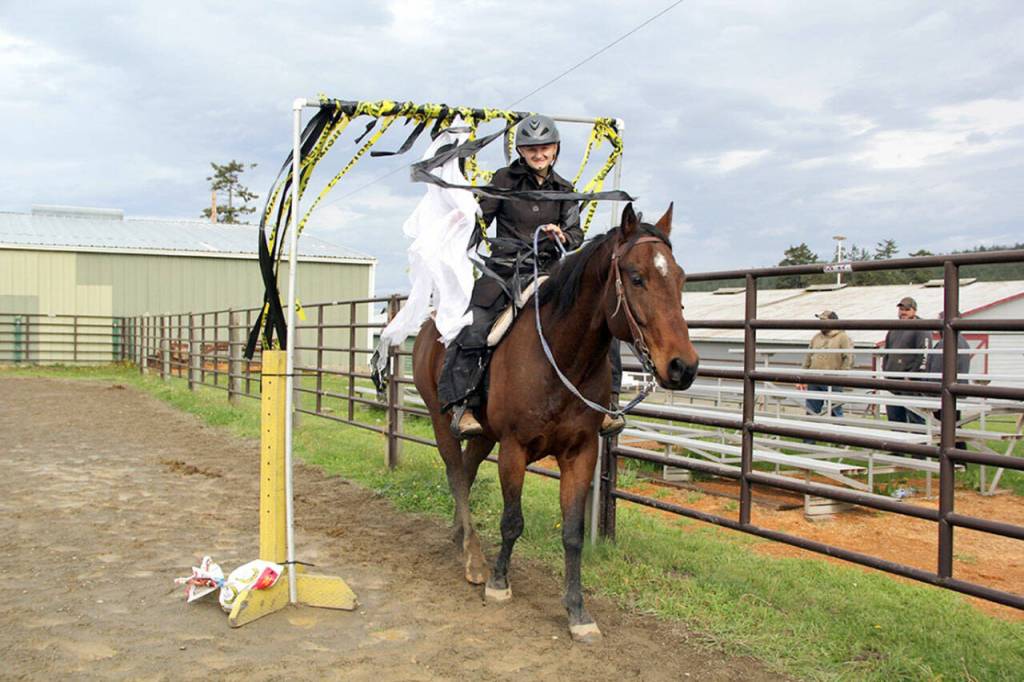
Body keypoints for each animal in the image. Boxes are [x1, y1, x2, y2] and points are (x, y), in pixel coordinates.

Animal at [411, 203, 699, 643]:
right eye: (637, 277)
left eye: (680, 278)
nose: (683, 367)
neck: (560, 357)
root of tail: (430, 326)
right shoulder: (514, 449)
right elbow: (512, 521)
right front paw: (499, 582)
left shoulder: (581, 452)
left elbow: (573, 533)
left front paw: (577, 611)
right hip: (442, 420)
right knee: (456, 475)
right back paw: (475, 561)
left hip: (484, 435)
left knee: (468, 470)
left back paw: (461, 539)